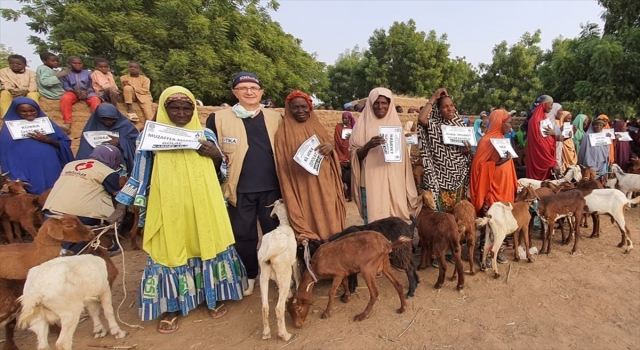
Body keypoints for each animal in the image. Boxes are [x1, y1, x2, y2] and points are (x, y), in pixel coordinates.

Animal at [258, 200, 300, 342]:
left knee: (265, 307)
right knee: (278, 308)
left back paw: (266, 333)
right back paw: (285, 335)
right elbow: (297, 275)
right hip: (284, 271)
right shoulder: (293, 260)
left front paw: (288, 295)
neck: (283, 225)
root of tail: (271, 251)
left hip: (263, 274)